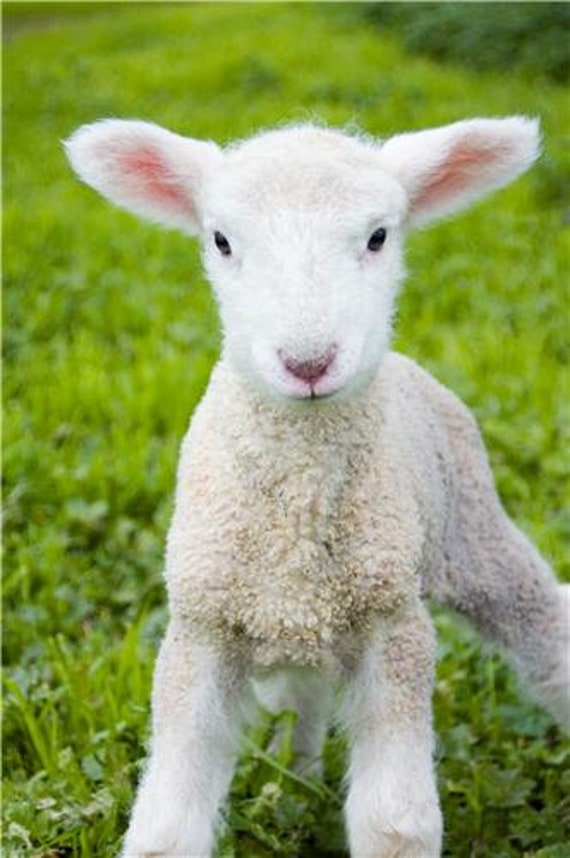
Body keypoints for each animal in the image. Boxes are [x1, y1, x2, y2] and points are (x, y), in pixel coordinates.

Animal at [65, 116, 569, 858]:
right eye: (221, 240)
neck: (298, 507)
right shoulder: (201, 630)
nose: (308, 362)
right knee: (303, 700)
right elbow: (167, 824)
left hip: (472, 529)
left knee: (544, 625)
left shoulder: (394, 625)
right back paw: (296, 777)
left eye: (379, 235)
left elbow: (395, 823)